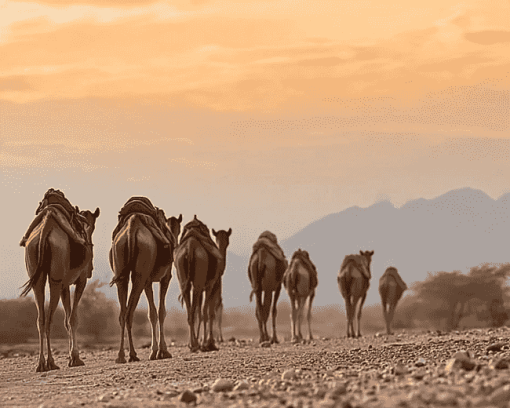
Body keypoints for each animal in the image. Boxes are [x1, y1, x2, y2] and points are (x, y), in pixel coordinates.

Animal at [18, 189, 99, 372]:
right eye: (92, 227)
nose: (90, 268)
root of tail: (45, 228)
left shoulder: (65, 284)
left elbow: (67, 320)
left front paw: (72, 357)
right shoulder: (80, 280)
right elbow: (73, 318)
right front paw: (75, 358)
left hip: (37, 274)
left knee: (41, 318)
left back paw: (41, 363)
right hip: (56, 274)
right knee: (49, 318)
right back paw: (50, 362)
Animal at [108, 198, 180, 364]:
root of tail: (131, 226)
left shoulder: (148, 280)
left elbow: (152, 313)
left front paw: (155, 352)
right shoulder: (165, 277)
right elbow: (160, 311)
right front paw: (162, 351)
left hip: (122, 266)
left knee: (123, 313)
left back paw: (122, 355)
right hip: (142, 267)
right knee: (129, 312)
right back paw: (132, 354)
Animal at [175, 217, 231, 354]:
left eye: (227, 240)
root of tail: (190, 246)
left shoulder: (203, 287)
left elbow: (199, 311)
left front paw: (202, 342)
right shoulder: (213, 285)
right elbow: (208, 312)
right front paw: (209, 343)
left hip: (184, 277)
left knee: (190, 311)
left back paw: (193, 344)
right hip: (201, 278)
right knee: (202, 310)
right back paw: (198, 344)